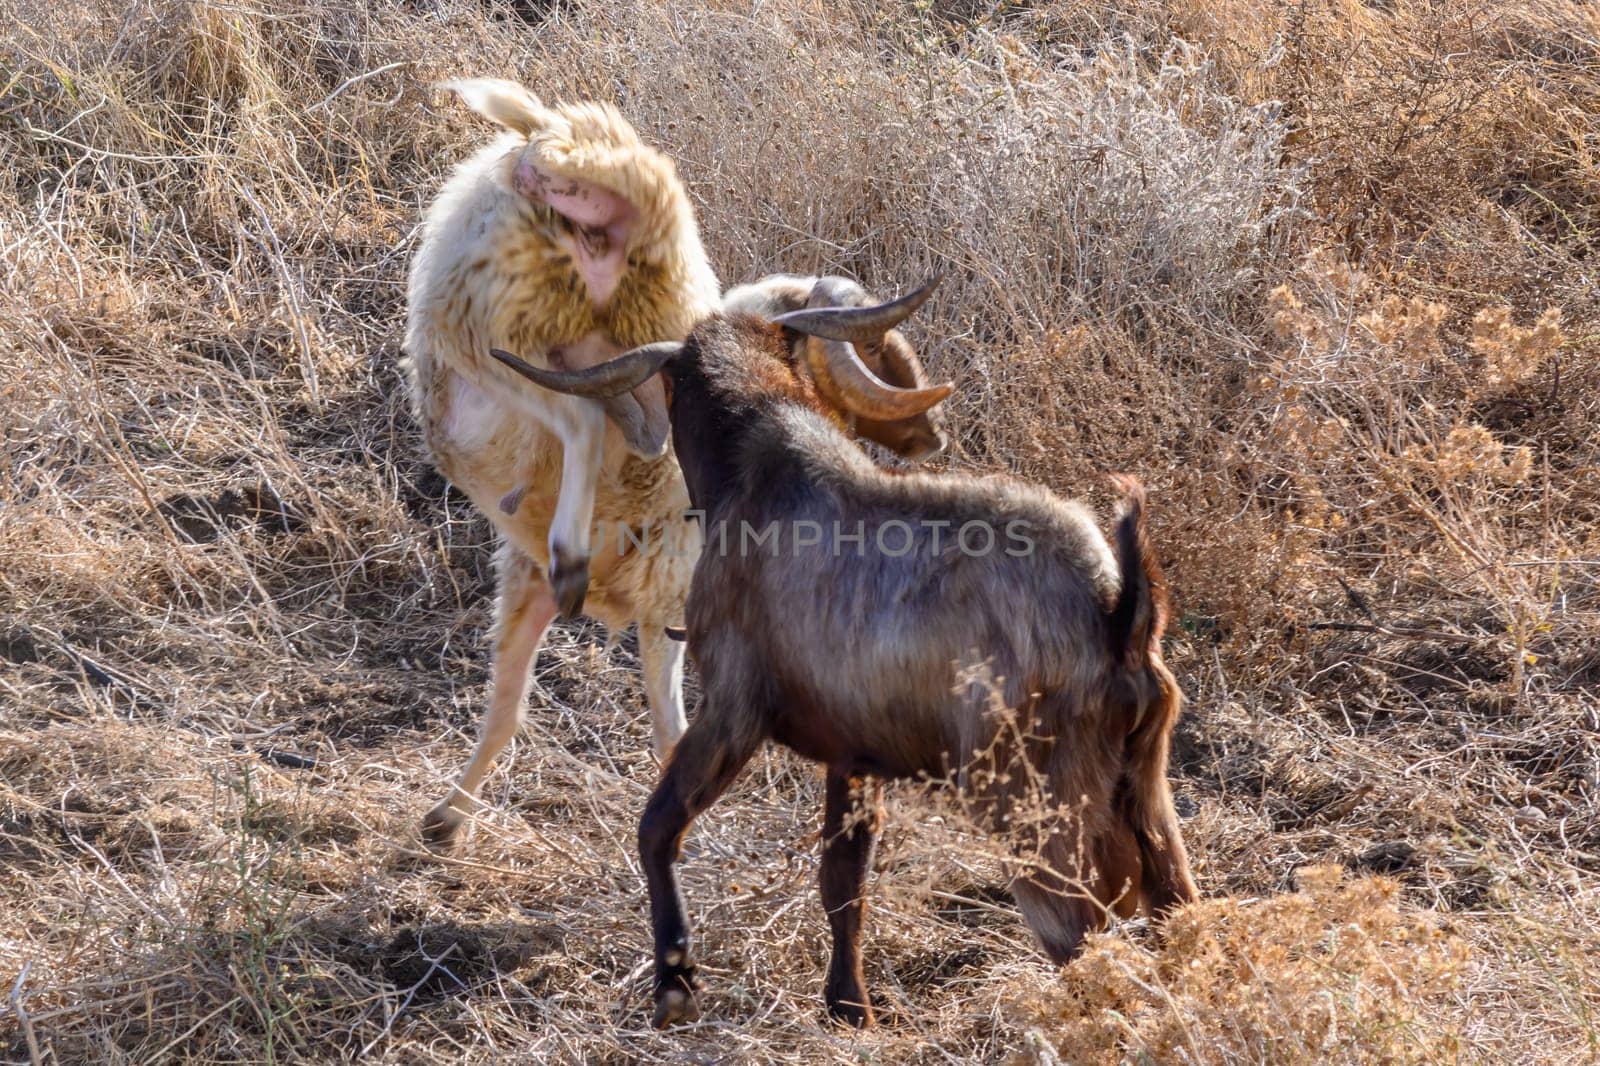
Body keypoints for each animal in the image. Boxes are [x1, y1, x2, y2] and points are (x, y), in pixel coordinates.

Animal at [492, 280, 1196, 1024]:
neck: (762, 469)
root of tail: (1119, 614)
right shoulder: (853, 756)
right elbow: (843, 881)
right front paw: (849, 1005)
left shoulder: (732, 712)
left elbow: (658, 829)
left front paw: (676, 979)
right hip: (1144, 798)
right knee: (1175, 908)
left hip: (1034, 808)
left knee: (1080, 938)